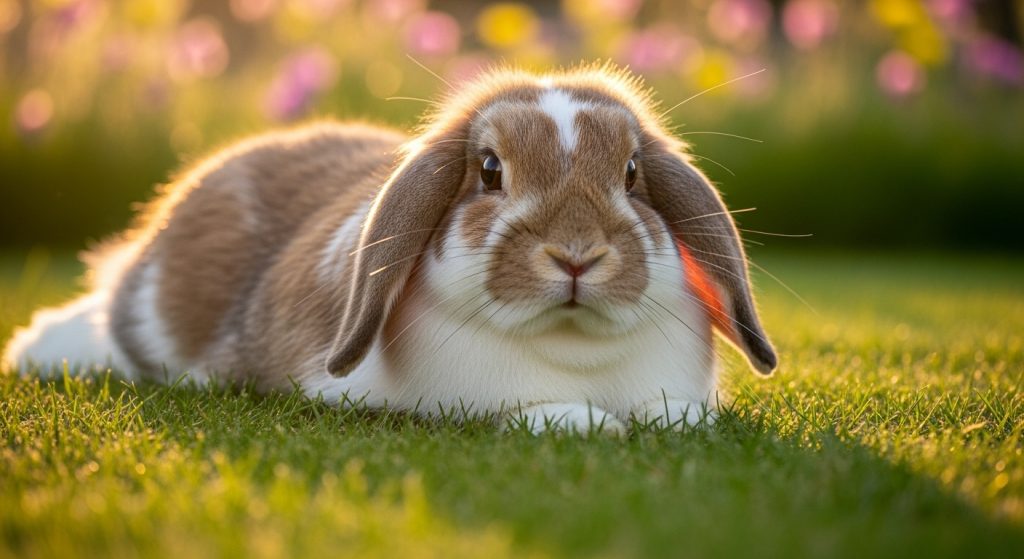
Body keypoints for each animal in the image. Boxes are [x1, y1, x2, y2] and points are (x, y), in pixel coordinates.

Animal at [3, 64, 776, 434]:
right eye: (489, 170)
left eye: (632, 173)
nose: (577, 254)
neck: (570, 349)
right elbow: (541, 415)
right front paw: (585, 424)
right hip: (147, 321)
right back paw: (37, 348)